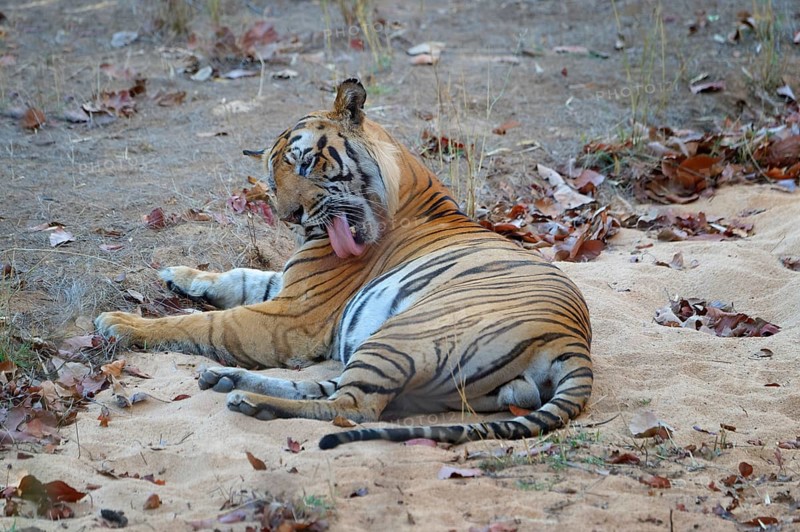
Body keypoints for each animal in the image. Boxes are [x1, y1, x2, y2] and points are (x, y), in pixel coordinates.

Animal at [94, 78, 593, 449]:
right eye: (271, 183)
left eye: (306, 163)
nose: (290, 217)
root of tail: (574, 343)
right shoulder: (290, 287)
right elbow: (241, 277)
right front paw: (178, 275)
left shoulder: (292, 316)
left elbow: (203, 324)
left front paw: (121, 323)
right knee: (332, 389)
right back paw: (225, 379)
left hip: (403, 333)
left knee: (351, 408)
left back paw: (247, 399)